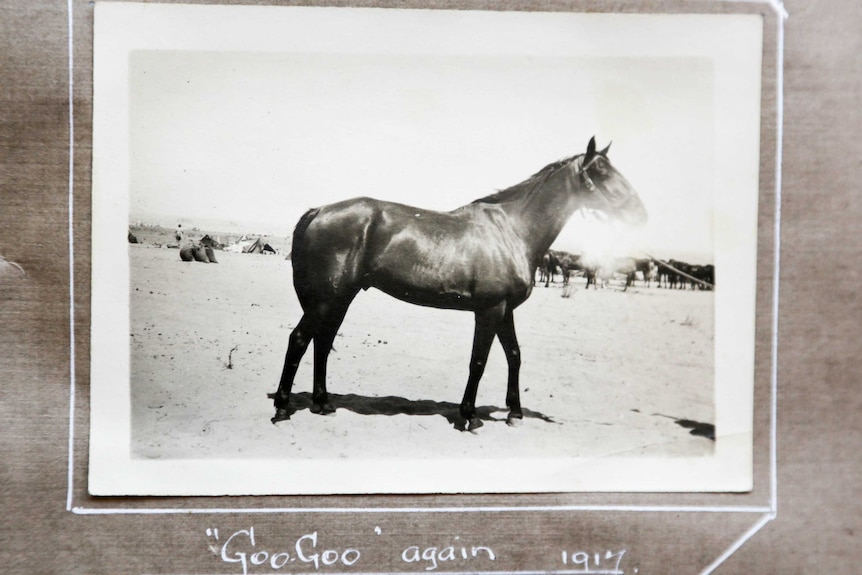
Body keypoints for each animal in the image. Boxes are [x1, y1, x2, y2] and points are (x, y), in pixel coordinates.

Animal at [270, 137, 648, 430]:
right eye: (601, 172)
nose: (640, 214)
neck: (511, 230)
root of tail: (318, 211)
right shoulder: (489, 309)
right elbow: (478, 361)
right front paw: (468, 416)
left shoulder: (505, 310)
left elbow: (514, 355)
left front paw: (514, 413)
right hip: (327, 299)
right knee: (300, 340)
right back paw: (283, 408)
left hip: (340, 298)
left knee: (322, 342)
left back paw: (323, 404)